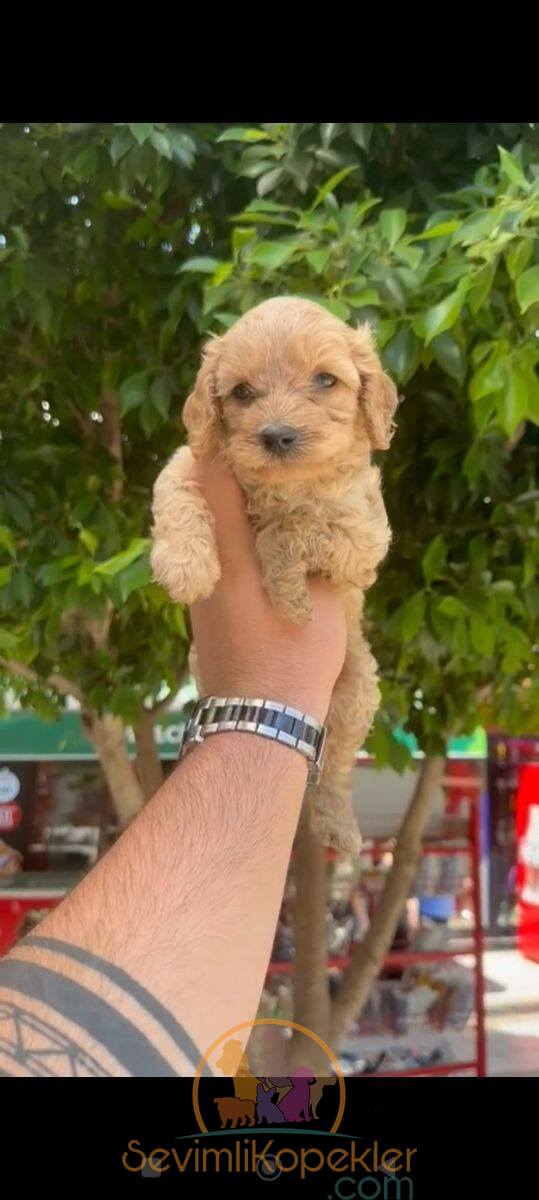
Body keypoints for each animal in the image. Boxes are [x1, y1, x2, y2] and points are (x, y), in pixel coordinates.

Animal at [148, 296, 396, 854]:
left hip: (357, 692)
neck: (284, 483)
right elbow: (175, 494)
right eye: (242, 392)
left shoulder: (364, 539)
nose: (277, 435)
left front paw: (290, 598)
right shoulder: (190, 461)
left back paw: (338, 826)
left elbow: (295, 527)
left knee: (337, 768)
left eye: (325, 380)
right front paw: (186, 564)